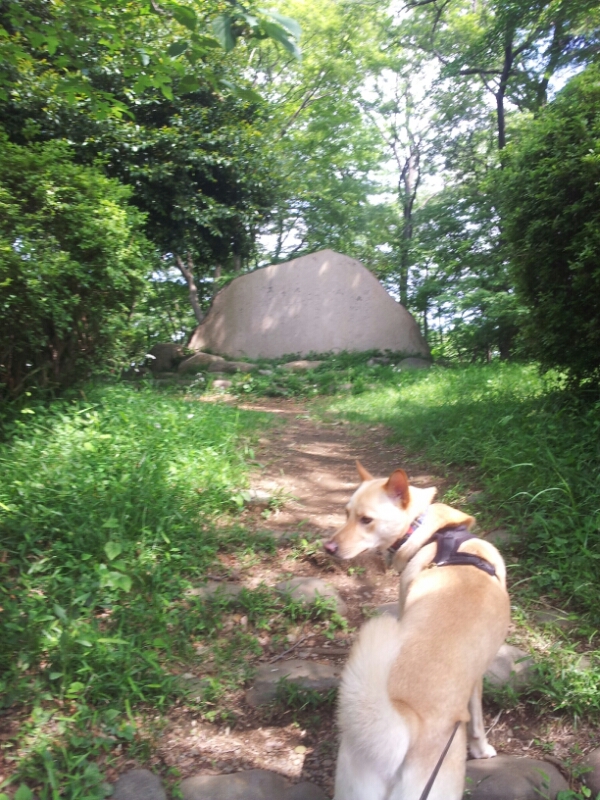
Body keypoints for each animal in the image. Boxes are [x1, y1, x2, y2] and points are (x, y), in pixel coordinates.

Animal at [326, 462, 508, 800]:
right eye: (346, 513)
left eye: (365, 519)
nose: (327, 547)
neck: (431, 533)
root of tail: (405, 723)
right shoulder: (476, 681)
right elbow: (478, 722)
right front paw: (483, 750)